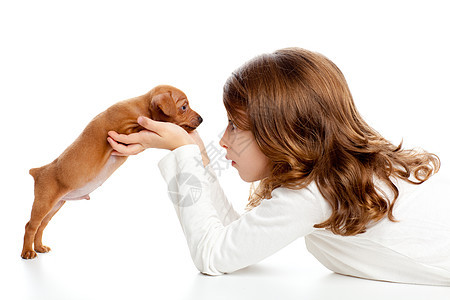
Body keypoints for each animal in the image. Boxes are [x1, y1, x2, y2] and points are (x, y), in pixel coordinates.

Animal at [22, 85, 201, 258]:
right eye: (184, 107)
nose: (201, 119)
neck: (141, 106)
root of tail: (38, 171)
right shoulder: (123, 130)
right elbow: (141, 126)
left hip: (55, 205)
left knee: (41, 226)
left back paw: (39, 247)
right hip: (44, 203)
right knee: (30, 226)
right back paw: (28, 252)